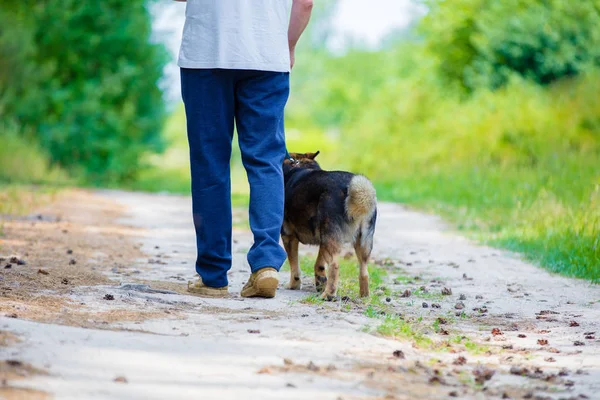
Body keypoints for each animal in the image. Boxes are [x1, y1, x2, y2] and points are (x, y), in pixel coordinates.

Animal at [280, 152, 376, 298]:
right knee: (364, 269)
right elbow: (319, 264)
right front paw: (320, 282)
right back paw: (364, 296)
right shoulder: (323, 240)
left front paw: (293, 285)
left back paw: (328, 295)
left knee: (335, 265)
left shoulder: (288, 237)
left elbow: (294, 265)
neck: (298, 165)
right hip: (361, 242)